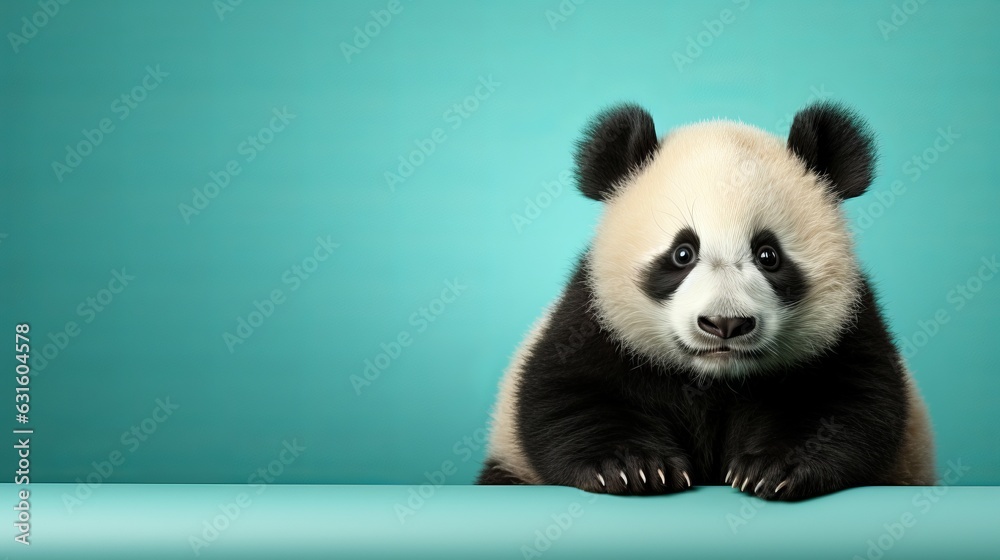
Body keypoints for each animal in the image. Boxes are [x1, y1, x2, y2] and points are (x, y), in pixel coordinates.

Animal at [477, 102, 936, 500]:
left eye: (768, 255)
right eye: (683, 253)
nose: (725, 324)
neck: (716, 379)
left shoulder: (847, 324)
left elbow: (851, 402)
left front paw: (772, 468)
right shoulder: (593, 314)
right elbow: (567, 395)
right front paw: (632, 466)